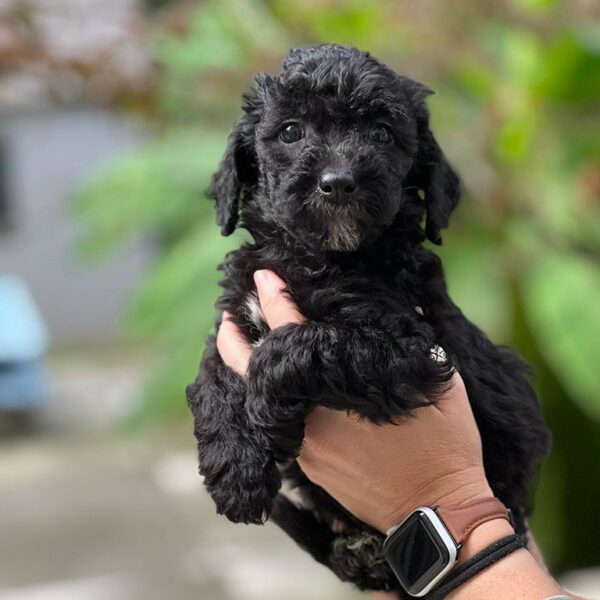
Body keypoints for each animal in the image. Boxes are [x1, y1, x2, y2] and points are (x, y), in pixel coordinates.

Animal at [186, 44, 548, 592]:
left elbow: (301, 343)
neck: (322, 257)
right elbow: (214, 370)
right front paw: (236, 468)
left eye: (381, 134)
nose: (338, 183)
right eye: (290, 131)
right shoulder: (235, 316)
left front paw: (265, 397)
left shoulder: (413, 347)